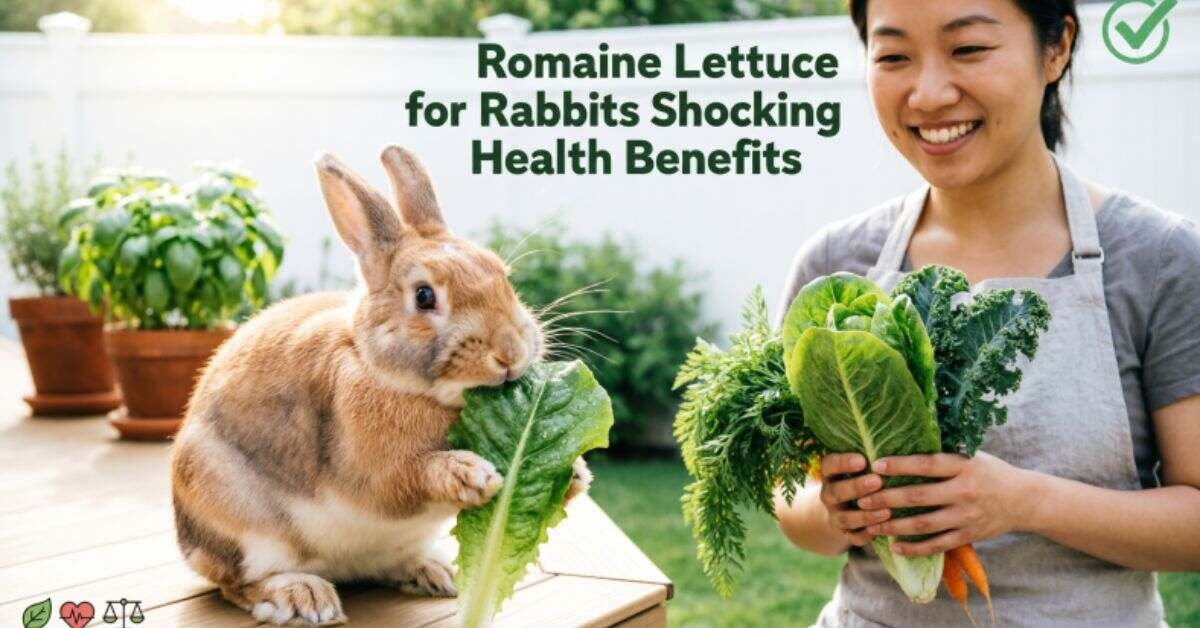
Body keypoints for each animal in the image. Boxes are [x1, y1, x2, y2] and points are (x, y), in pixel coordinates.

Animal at [170, 145, 592, 626]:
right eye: (424, 296)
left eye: (500, 272)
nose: (510, 353)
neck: (378, 369)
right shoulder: (375, 473)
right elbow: (409, 478)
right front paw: (472, 475)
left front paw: (577, 473)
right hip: (239, 529)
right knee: (236, 583)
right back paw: (302, 596)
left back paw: (435, 572)